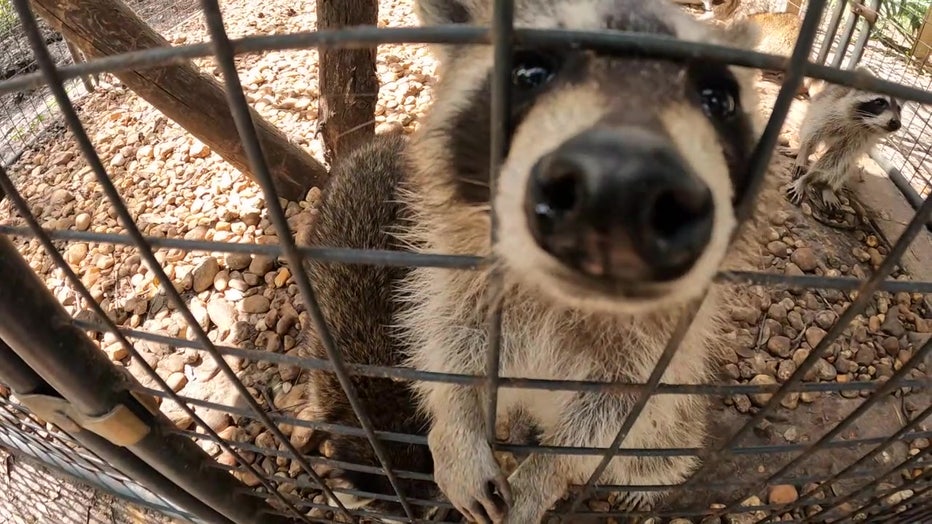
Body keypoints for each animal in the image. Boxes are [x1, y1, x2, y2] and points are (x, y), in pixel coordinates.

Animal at [296, 0, 764, 520]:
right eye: (530, 73)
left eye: (717, 100)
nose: (621, 183)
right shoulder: (449, 273)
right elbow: (447, 345)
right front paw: (454, 428)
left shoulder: (663, 344)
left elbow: (618, 410)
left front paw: (547, 472)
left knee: (654, 445)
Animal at [788, 67, 904, 211]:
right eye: (880, 102)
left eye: (898, 109)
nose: (896, 123)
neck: (861, 122)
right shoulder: (829, 109)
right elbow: (812, 132)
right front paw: (803, 154)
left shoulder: (861, 139)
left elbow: (836, 159)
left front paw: (808, 178)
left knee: (843, 165)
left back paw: (827, 187)